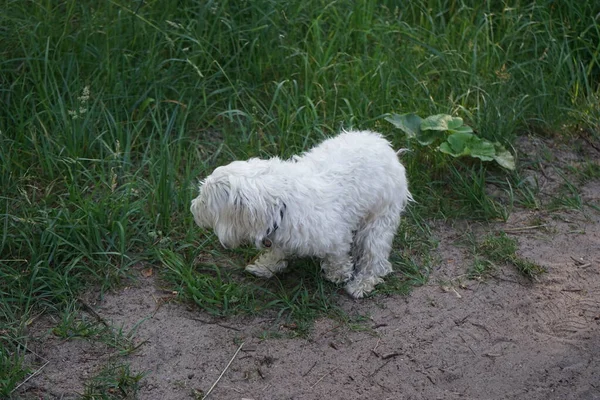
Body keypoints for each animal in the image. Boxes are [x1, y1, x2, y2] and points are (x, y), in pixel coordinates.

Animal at [190, 130, 410, 296]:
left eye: (204, 200)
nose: (192, 208)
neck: (281, 205)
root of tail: (386, 147)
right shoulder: (279, 236)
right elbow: (277, 251)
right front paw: (266, 266)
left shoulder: (335, 236)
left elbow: (337, 257)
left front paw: (337, 275)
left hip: (379, 220)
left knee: (375, 258)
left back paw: (362, 283)